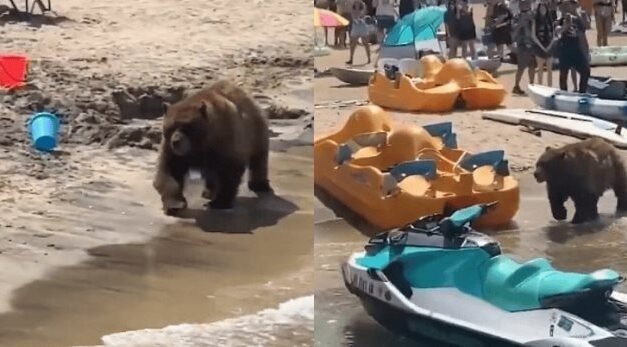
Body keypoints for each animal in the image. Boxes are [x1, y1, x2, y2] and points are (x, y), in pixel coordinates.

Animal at [154, 80, 272, 215]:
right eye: (171, 127)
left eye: (186, 126)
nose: (176, 141)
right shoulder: (172, 150)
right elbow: (170, 169)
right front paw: (174, 204)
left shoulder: (225, 140)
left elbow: (229, 170)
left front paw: (219, 203)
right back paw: (208, 191)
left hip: (255, 130)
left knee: (259, 158)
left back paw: (260, 185)